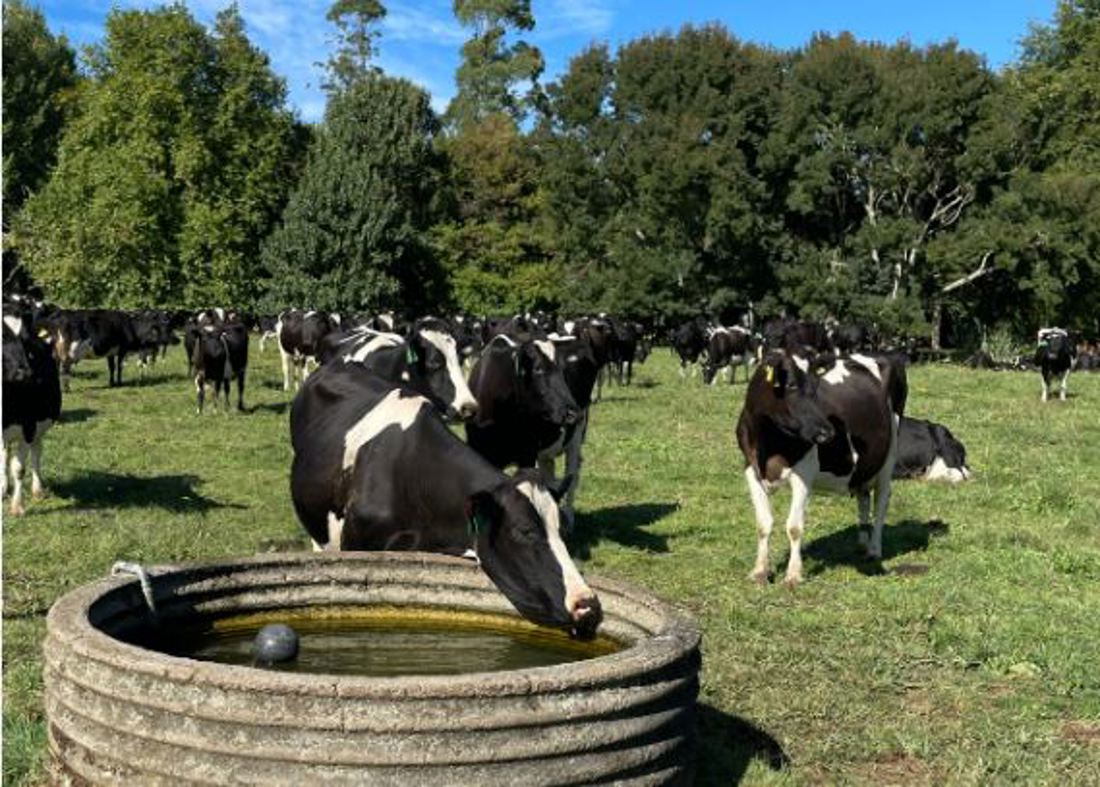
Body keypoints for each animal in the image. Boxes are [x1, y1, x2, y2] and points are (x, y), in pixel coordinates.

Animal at [3, 315, 62, 515]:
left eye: (23, 341)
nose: (25, 372)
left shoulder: (28, 427)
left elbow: (19, 469)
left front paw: (17, 507)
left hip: (39, 427)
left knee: (36, 452)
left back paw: (37, 489)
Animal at [736, 350, 901, 586]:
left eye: (815, 388)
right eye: (791, 385)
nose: (828, 432)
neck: (768, 443)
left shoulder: (804, 474)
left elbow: (794, 527)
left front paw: (793, 575)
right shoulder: (751, 470)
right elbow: (763, 524)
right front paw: (759, 571)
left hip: (889, 456)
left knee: (881, 501)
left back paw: (874, 550)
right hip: (863, 468)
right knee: (864, 497)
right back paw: (862, 544)